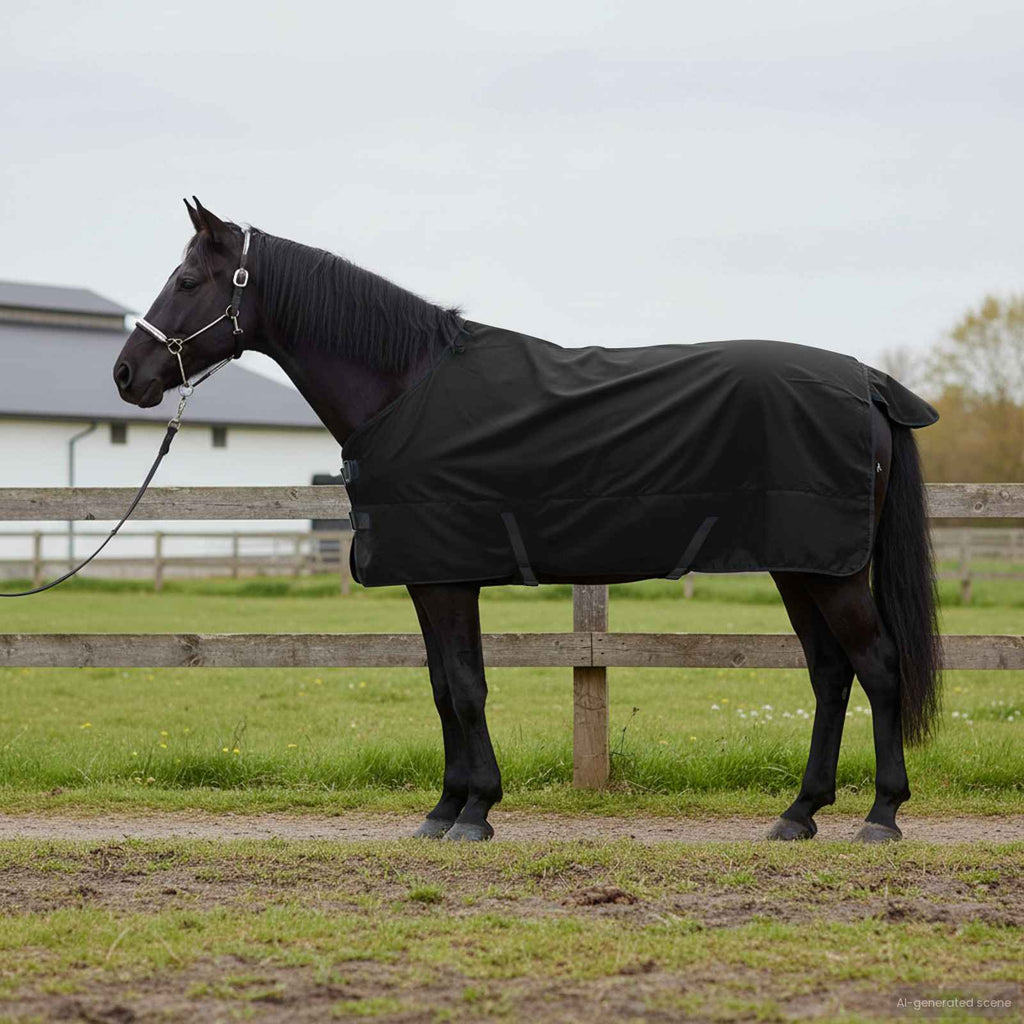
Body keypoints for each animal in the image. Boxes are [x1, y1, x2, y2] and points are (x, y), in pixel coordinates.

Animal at [113, 198, 941, 843]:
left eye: (187, 280)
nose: (126, 374)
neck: (404, 386)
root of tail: (867, 382)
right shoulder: (434, 578)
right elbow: (445, 686)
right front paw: (447, 807)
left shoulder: (447, 579)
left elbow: (465, 687)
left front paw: (474, 811)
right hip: (801, 567)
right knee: (830, 673)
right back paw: (799, 814)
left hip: (830, 572)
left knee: (877, 666)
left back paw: (881, 815)